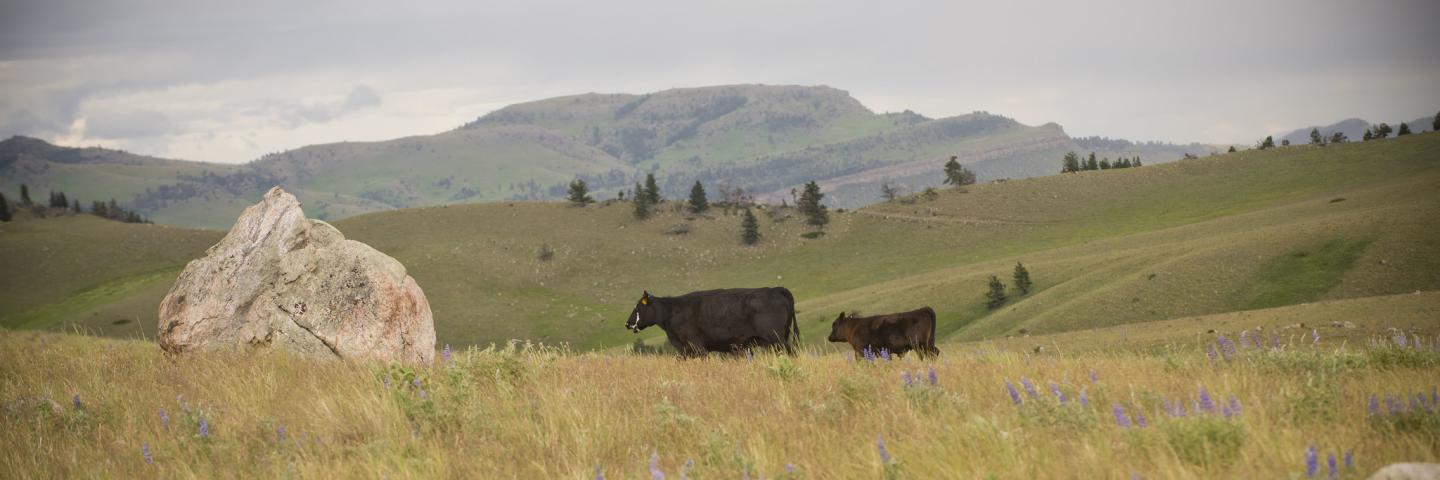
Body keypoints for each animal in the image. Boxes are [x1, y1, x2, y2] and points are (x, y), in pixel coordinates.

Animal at [622, 288, 800, 354]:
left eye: (638, 306)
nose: (627, 323)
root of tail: (775, 289)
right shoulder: (686, 350)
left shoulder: (697, 347)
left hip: (777, 338)